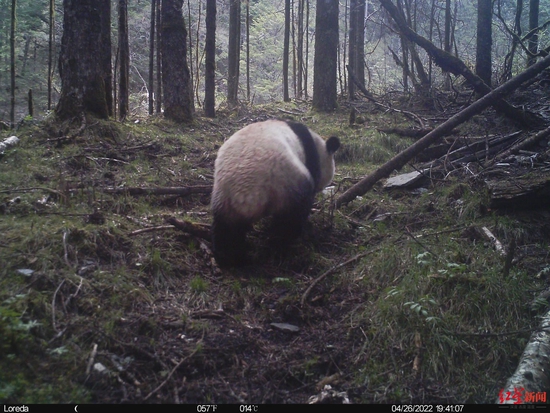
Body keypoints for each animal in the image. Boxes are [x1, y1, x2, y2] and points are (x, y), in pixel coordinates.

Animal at [211, 119, 340, 268]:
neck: (317, 144)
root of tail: (247, 194)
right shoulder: (311, 159)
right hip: (287, 184)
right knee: (290, 219)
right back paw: (284, 244)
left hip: (224, 197)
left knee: (226, 229)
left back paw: (231, 258)